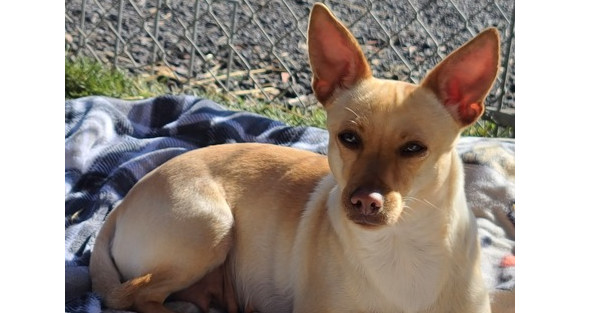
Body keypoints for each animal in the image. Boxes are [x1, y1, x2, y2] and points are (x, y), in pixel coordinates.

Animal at [90, 3, 502, 312]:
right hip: (212, 226)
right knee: (139, 295)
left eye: (414, 148)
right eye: (348, 138)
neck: (401, 246)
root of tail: (121, 206)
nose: (364, 201)